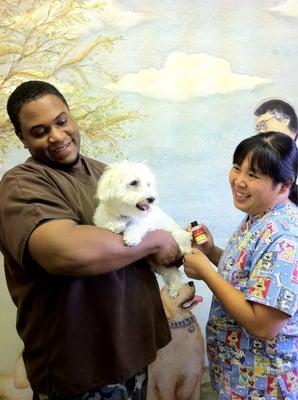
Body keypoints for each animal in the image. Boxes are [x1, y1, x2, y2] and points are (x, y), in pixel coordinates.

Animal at [92, 160, 193, 296]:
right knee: (171, 272)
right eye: (134, 182)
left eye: (148, 184)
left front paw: (131, 238)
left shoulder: (145, 222)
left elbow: (136, 226)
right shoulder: (103, 219)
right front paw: (115, 225)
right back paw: (174, 290)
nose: (152, 199)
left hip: (178, 235)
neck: (125, 214)